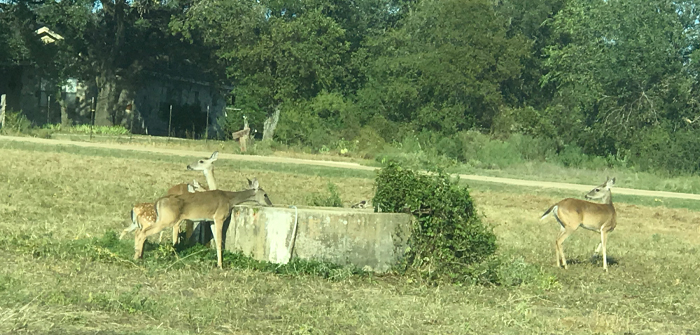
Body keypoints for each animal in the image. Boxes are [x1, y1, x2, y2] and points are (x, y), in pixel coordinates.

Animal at [134, 177, 274, 270]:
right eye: (265, 194)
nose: (271, 204)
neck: (229, 200)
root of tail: (158, 202)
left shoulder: (211, 220)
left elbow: (216, 241)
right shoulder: (219, 217)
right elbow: (219, 241)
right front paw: (220, 265)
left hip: (161, 219)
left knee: (139, 232)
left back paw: (138, 254)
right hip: (167, 219)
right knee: (143, 232)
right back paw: (137, 257)